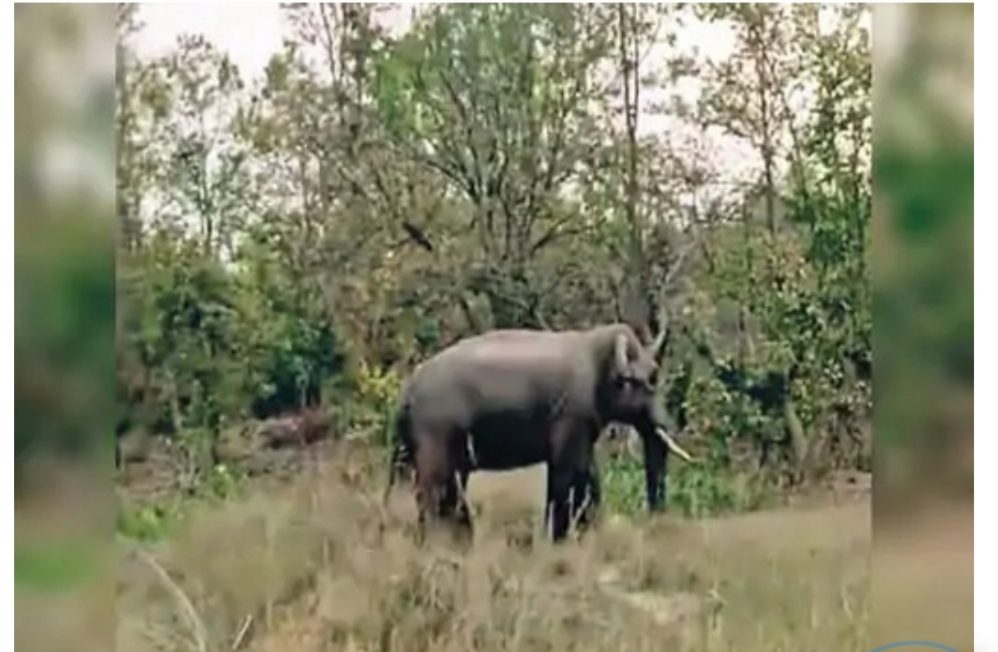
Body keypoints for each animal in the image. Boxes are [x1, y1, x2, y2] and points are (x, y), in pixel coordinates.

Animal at [382, 320, 696, 540]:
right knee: (433, 488)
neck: (597, 345)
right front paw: (557, 538)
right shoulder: (570, 413)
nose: (655, 521)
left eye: (655, 375)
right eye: (645, 383)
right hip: (435, 431)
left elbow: (588, 472)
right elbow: (566, 470)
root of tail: (405, 393)